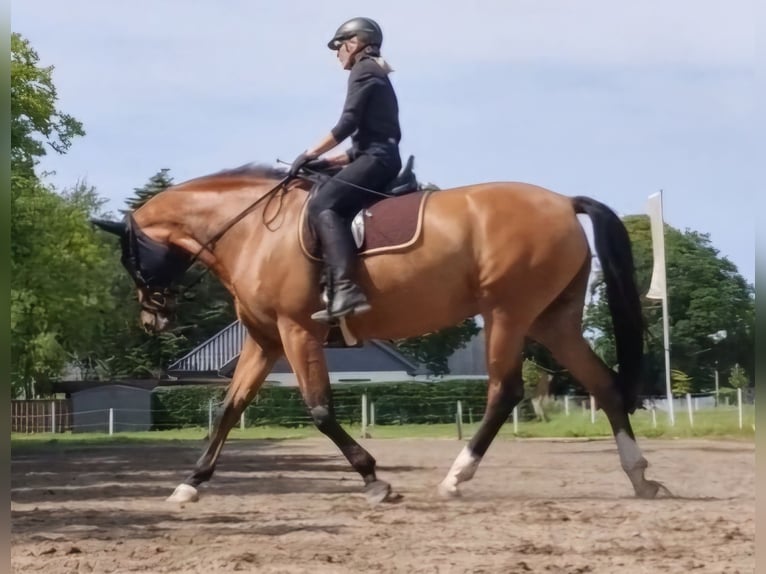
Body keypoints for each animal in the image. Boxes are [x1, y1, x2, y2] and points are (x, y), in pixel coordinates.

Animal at [91, 161, 672, 504]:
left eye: (130, 259)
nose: (152, 319)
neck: (254, 230)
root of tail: (562, 201)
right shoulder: (264, 341)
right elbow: (230, 410)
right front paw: (190, 484)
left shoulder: (297, 333)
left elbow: (320, 409)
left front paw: (374, 478)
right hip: (553, 320)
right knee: (602, 384)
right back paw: (640, 476)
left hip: (507, 313)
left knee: (504, 391)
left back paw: (456, 477)